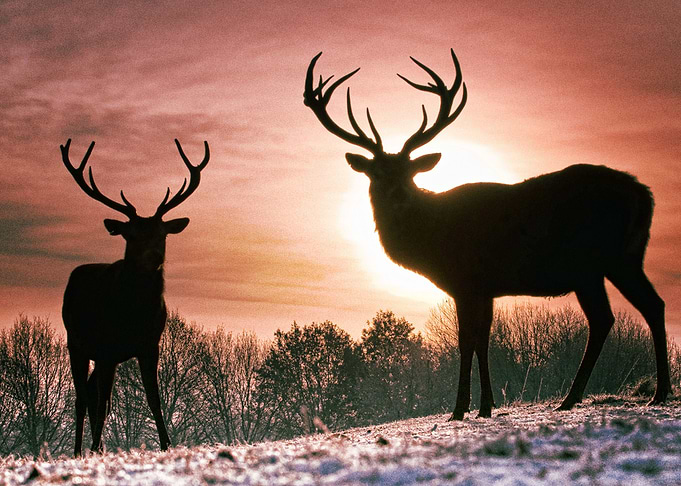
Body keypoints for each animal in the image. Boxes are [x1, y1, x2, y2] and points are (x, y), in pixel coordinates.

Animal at [60, 138, 209, 455]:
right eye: (131, 235)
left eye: (163, 234)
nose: (153, 257)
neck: (134, 314)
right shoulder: (105, 348)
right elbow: (103, 404)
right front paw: (94, 449)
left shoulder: (149, 344)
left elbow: (154, 398)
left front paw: (167, 444)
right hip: (76, 343)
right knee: (83, 398)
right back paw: (81, 450)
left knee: (90, 393)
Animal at [304, 49, 671, 420]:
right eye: (376, 173)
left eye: (410, 172)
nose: (399, 195)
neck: (432, 240)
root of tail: (644, 194)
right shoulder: (486, 287)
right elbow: (484, 339)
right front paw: (487, 406)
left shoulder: (465, 280)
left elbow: (467, 340)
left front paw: (460, 408)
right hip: (624, 257)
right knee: (649, 305)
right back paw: (655, 392)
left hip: (592, 263)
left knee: (607, 317)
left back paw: (581, 397)